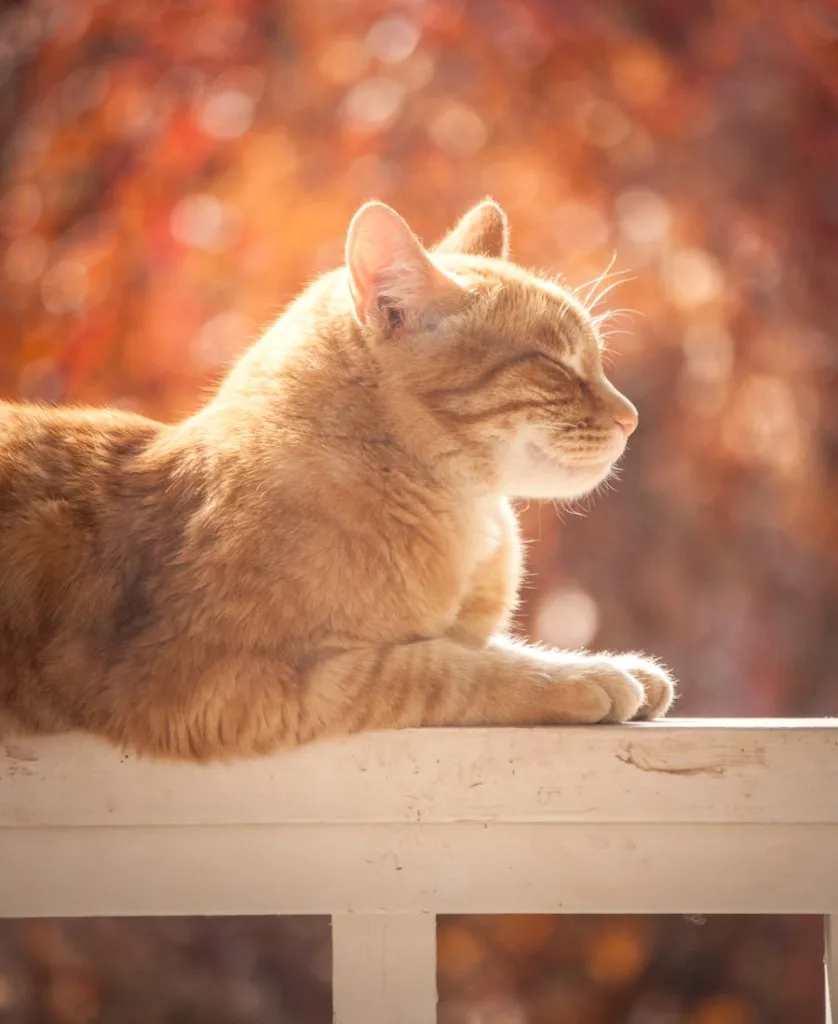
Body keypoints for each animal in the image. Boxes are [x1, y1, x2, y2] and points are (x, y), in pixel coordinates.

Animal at [0, 199, 672, 761]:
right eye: (554, 366)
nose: (632, 417)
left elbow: (481, 645)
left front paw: (614, 665)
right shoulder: (229, 685)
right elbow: (441, 668)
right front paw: (580, 677)